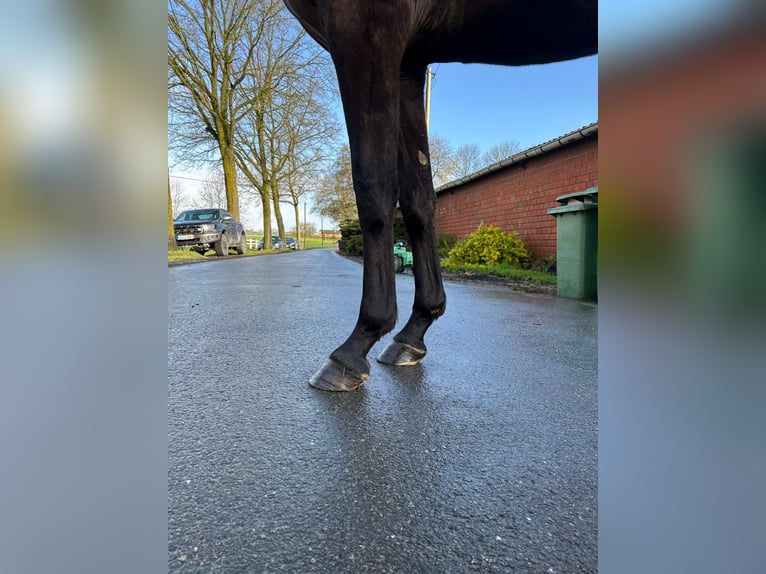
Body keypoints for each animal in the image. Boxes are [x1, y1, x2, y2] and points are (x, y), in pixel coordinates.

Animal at [283, 0, 597, 391]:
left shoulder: (365, 29)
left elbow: (374, 184)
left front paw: (357, 345)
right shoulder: (408, 62)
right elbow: (418, 198)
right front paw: (414, 331)